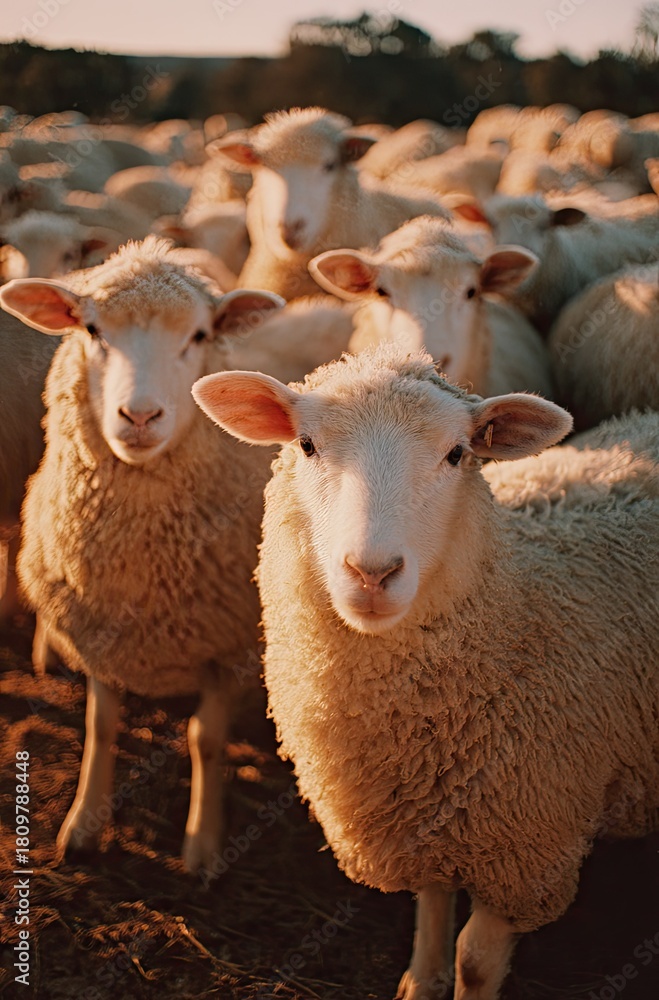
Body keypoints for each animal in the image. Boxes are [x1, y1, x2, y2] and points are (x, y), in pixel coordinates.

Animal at [0, 236, 285, 872]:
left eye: (200, 335)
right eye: (91, 329)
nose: (139, 416)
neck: (146, 565)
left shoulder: (229, 647)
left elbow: (206, 740)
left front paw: (202, 845)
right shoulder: (103, 628)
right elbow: (102, 725)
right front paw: (82, 825)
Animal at [192, 343, 659, 1000]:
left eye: (457, 453)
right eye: (306, 445)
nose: (372, 573)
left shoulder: (526, 850)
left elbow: (476, 962)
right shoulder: (426, 817)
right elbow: (433, 902)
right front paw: (421, 977)